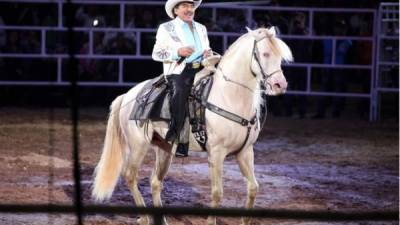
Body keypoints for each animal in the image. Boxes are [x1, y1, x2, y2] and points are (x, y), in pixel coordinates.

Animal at [92, 27, 292, 225]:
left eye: (280, 56)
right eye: (265, 53)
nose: (280, 85)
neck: (229, 97)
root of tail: (127, 96)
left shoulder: (245, 151)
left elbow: (253, 188)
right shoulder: (216, 153)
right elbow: (217, 193)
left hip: (164, 149)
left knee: (155, 181)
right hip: (138, 146)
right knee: (130, 176)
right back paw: (145, 218)